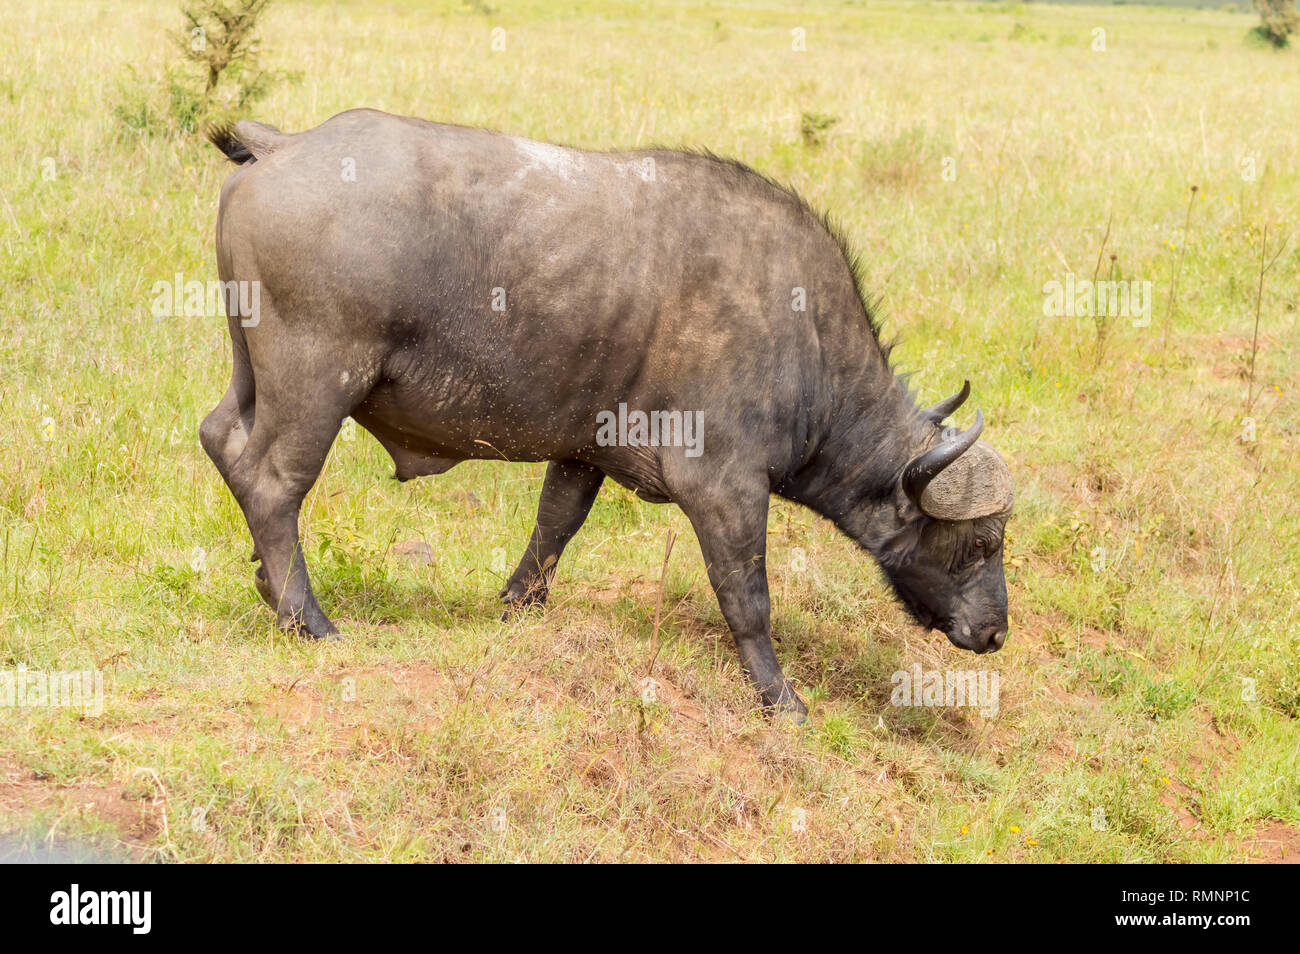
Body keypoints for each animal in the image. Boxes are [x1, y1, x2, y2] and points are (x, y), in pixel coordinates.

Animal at [205, 110, 1013, 722]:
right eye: (979, 544)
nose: (995, 632)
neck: (804, 334)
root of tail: (283, 144)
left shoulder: (584, 451)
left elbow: (553, 528)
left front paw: (515, 607)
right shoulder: (725, 486)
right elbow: (746, 594)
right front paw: (781, 698)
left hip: (253, 370)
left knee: (222, 438)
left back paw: (269, 584)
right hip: (318, 381)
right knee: (272, 481)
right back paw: (307, 618)